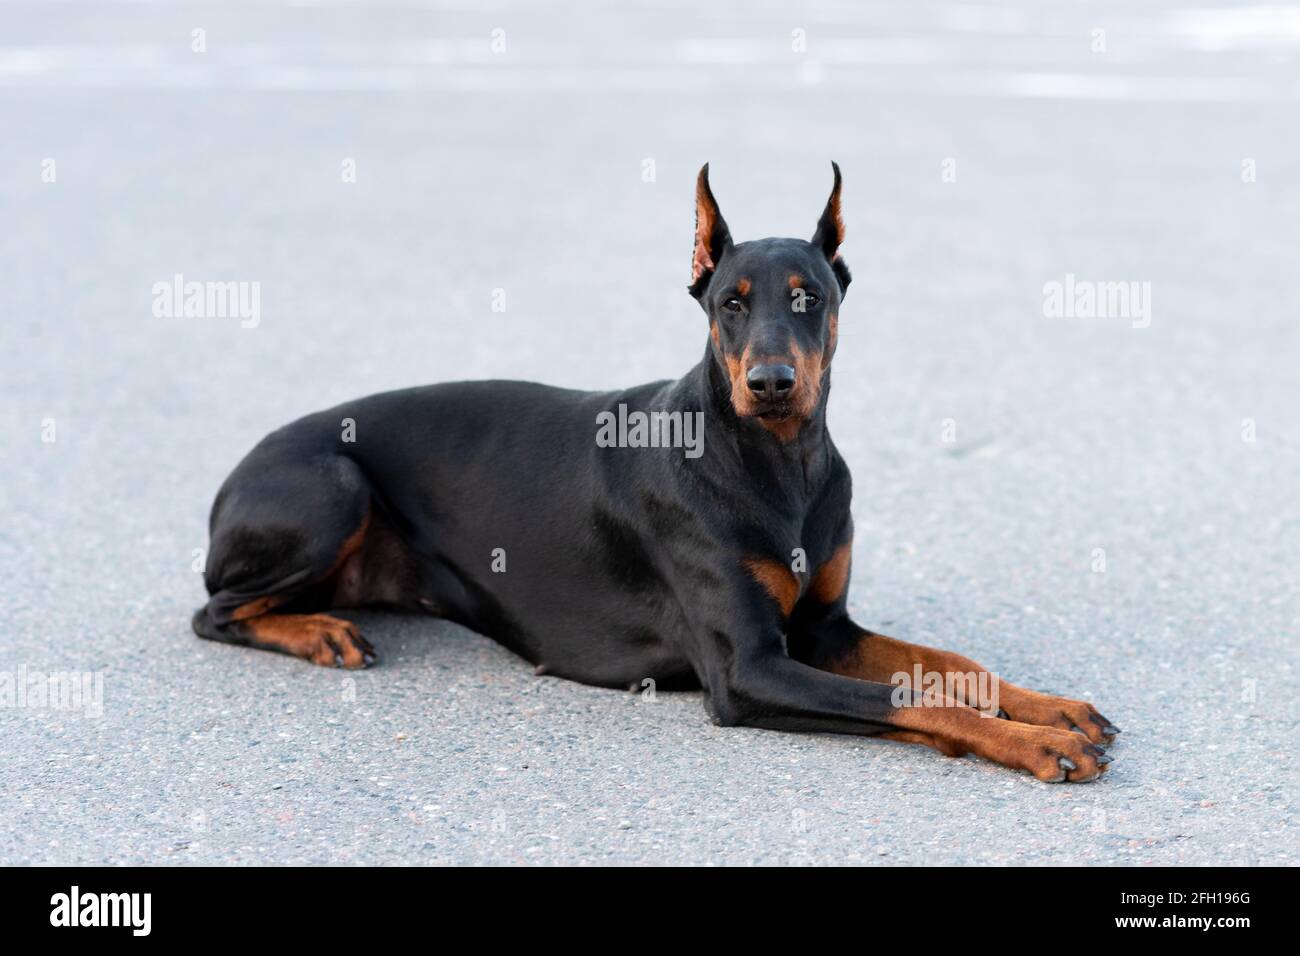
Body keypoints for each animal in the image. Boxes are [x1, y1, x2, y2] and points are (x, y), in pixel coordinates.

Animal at [192, 160, 1118, 780]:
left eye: (810, 296)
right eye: (730, 302)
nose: (771, 383)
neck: (777, 467)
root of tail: (233, 475)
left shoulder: (825, 629)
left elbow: (950, 667)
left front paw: (1054, 709)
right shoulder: (750, 670)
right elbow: (915, 698)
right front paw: (1042, 744)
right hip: (330, 488)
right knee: (214, 612)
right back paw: (319, 633)